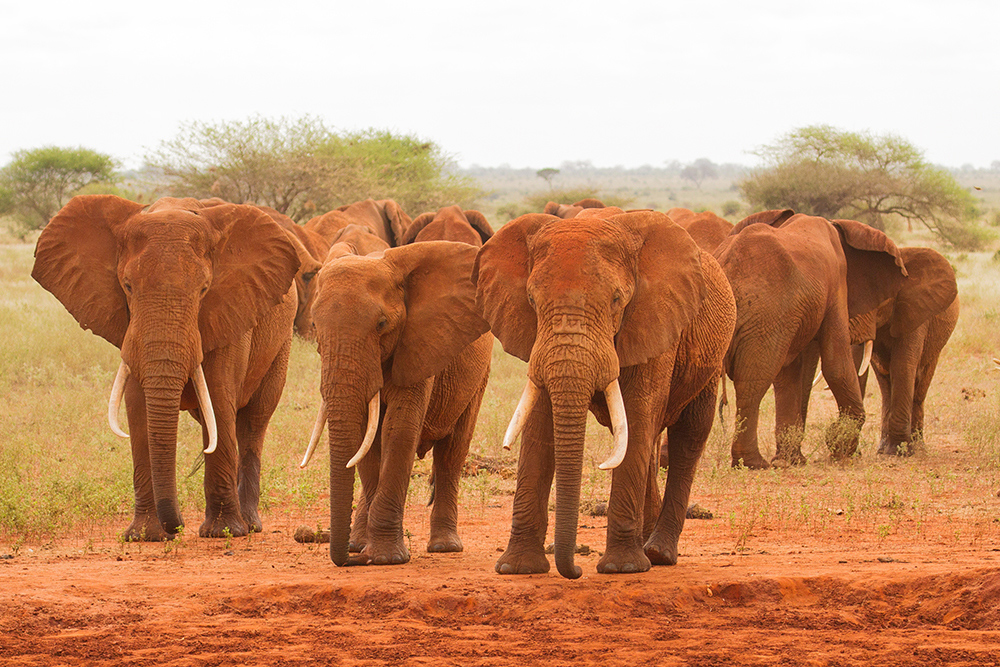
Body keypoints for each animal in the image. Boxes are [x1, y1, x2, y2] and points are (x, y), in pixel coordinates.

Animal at [33, 196, 302, 540]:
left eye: (204, 290)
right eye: (127, 286)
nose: (176, 526)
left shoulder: (232, 311)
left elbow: (219, 398)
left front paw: (223, 532)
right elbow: (138, 406)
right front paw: (144, 536)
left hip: (281, 341)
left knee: (253, 422)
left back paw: (249, 525)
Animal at [302, 211, 494, 568]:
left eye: (381, 325)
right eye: (315, 326)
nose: (348, 562)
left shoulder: (420, 341)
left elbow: (399, 428)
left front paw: (386, 558)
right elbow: (367, 438)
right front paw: (368, 551)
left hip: (479, 376)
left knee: (452, 451)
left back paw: (444, 546)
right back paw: (357, 543)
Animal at [472, 207, 740, 580]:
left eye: (616, 300)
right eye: (531, 300)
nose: (575, 571)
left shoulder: (654, 319)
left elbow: (639, 413)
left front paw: (622, 568)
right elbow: (539, 426)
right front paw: (517, 568)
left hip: (710, 356)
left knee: (688, 435)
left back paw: (658, 553)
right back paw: (647, 544)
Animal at [716, 210, 912, 470]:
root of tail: (728, 266)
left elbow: (789, 373)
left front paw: (790, 461)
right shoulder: (835, 284)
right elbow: (836, 364)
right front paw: (840, 445)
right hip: (765, 314)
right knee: (753, 380)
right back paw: (753, 463)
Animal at [852, 243, 960, 456]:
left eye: (880, 299)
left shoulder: (916, 310)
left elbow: (903, 365)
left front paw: (900, 451)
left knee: (919, 386)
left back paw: (917, 447)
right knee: (886, 386)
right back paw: (882, 449)